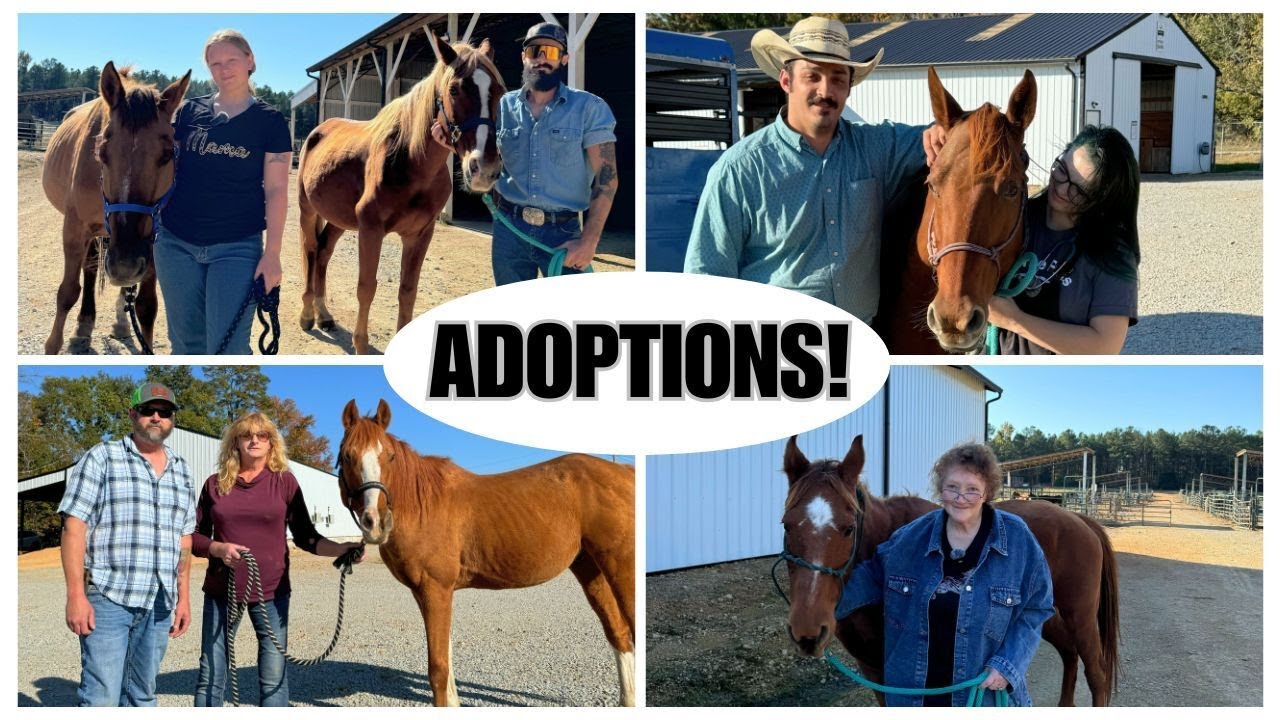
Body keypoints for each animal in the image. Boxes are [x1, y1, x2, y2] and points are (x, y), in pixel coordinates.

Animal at [41, 62, 190, 354]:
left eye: (168, 154)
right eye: (101, 152)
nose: (124, 265)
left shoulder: (150, 238)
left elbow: (146, 306)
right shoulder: (75, 230)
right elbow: (67, 292)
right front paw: (54, 344)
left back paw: (121, 321)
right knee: (89, 270)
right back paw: (84, 326)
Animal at [297, 32, 505, 355]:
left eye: (498, 91)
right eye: (454, 89)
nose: (484, 168)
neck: (411, 161)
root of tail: (319, 130)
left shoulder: (420, 234)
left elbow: (408, 290)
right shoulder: (371, 229)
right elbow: (366, 287)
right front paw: (360, 344)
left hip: (338, 219)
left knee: (323, 253)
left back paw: (324, 314)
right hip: (307, 210)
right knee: (309, 251)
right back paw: (308, 315)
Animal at [337, 399, 636, 706]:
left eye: (391, 457)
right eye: (347, 456)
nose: (375, 523)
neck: (422, 506)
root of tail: (624, 472)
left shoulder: (435, 589)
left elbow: (438, 669)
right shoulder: (427, 593)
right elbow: (446, 662)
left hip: (621, 566)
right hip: (589, 567)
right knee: (619, 633)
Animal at [780, 435, 1119, 706]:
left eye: (849, 528)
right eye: (786, 524)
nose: (808, 631)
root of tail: (1080, 520)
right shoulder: (874, 670)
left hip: (1080, 618)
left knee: (1096, 673)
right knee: (1069, 654)